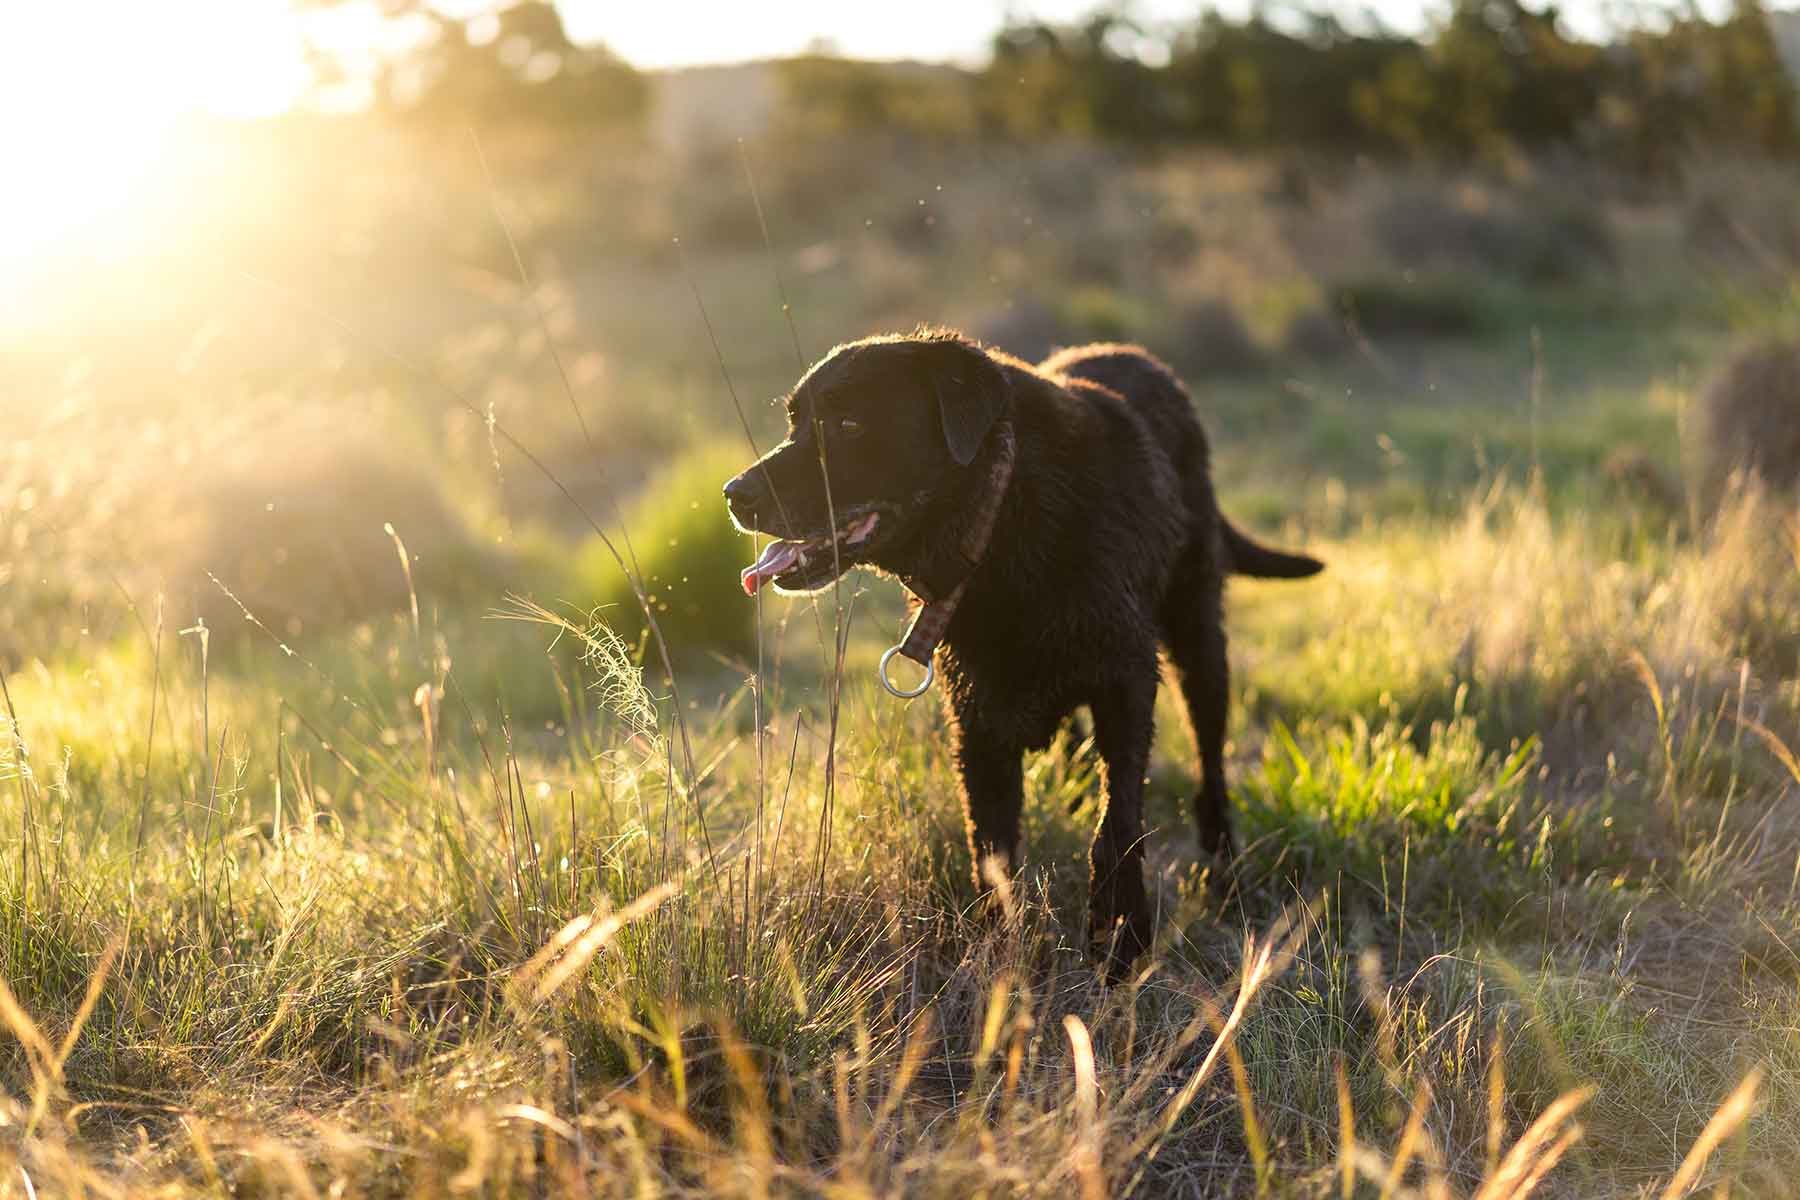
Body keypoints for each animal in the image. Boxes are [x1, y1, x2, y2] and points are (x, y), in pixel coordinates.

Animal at [720, 329, 1324, 978]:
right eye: (795, 422)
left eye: (850, 424)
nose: (735, 494)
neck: (1006, 518)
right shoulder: (978, 723)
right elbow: (992, 852)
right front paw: (997, 961)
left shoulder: (1128, 684)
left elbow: (1117, 825)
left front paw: (1120, 938)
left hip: (1199, 636)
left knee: (1210, 760)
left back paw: (1223, 869)